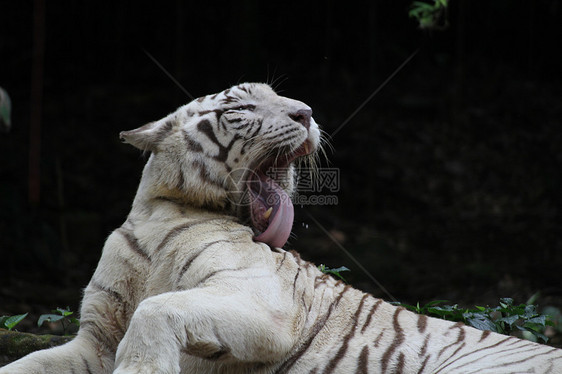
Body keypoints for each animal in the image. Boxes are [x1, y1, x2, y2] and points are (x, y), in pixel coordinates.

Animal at [1, 84, 560, 374]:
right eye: (242, 107)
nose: (307, 111)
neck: (164, 210)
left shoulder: (261, 301)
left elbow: (156, 309)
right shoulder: (94, 341)